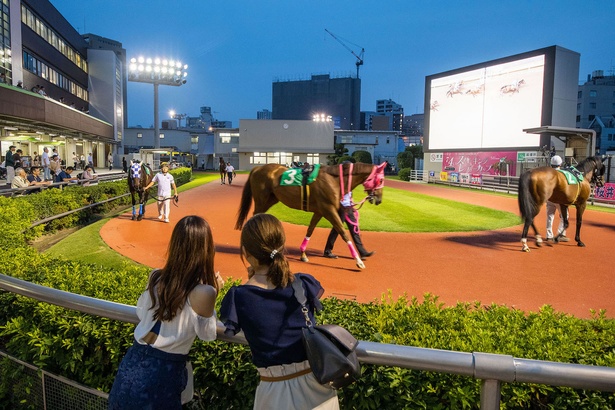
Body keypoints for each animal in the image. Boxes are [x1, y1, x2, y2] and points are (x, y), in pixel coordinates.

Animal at [236, 162, 384, 270]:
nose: (379, 200)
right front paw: (359, 261)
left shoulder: (320, 211)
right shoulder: (328, 209)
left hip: (271, 199)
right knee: (254, 218)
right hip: (262, 200)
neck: (334, 180)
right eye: (381, 179)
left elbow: (310, 230)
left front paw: (303, 254)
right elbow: (343, 232)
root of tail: (257, 168)